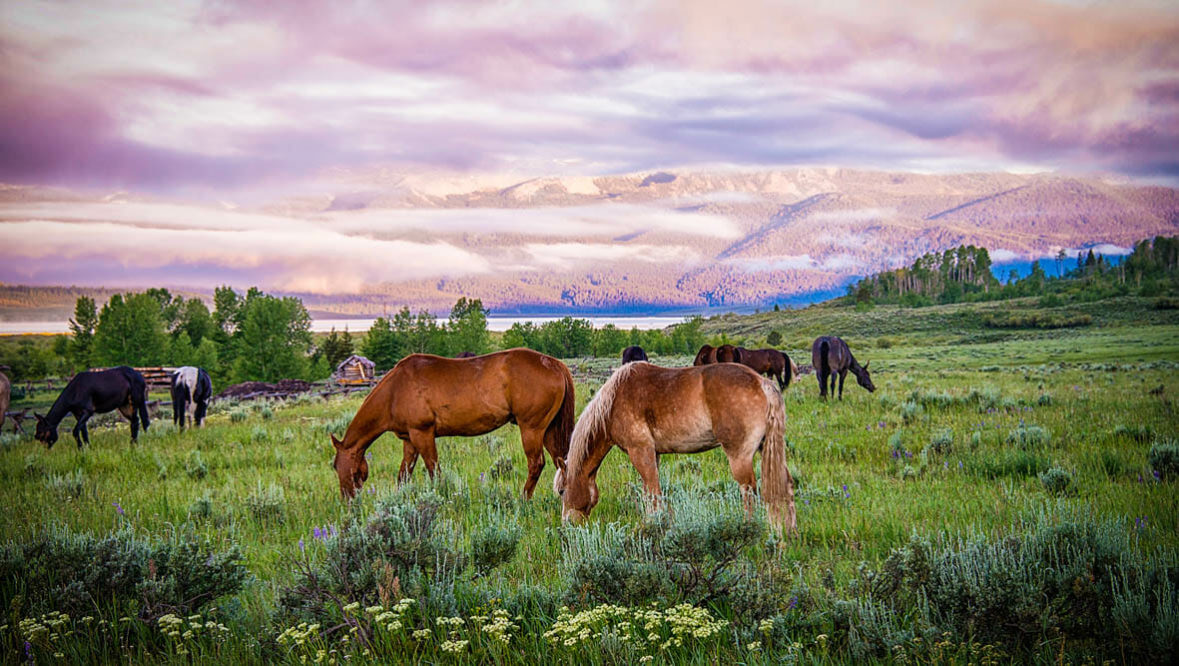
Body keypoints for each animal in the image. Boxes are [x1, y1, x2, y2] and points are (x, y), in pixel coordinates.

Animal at [330, 348, 576, 500]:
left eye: (335, 466)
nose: (348, 501)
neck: (395, 390)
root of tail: (554, 364)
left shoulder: (423, 434)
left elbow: (434, 471)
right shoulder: (409, 440)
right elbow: (403, 475)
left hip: (532, 429)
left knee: (536, 464)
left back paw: (523, 499)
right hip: (549, 429)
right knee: (562, 460)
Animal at [556, 361, 795, 532]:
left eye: (561, 491)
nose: (567, 524)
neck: (613, 402)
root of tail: (762, 384)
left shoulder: (640, 451)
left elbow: (653, 492)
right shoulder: (653, 454)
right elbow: (649, 492)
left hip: (739, 456)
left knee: (748, 491)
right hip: (768, 449)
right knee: (785, 485)